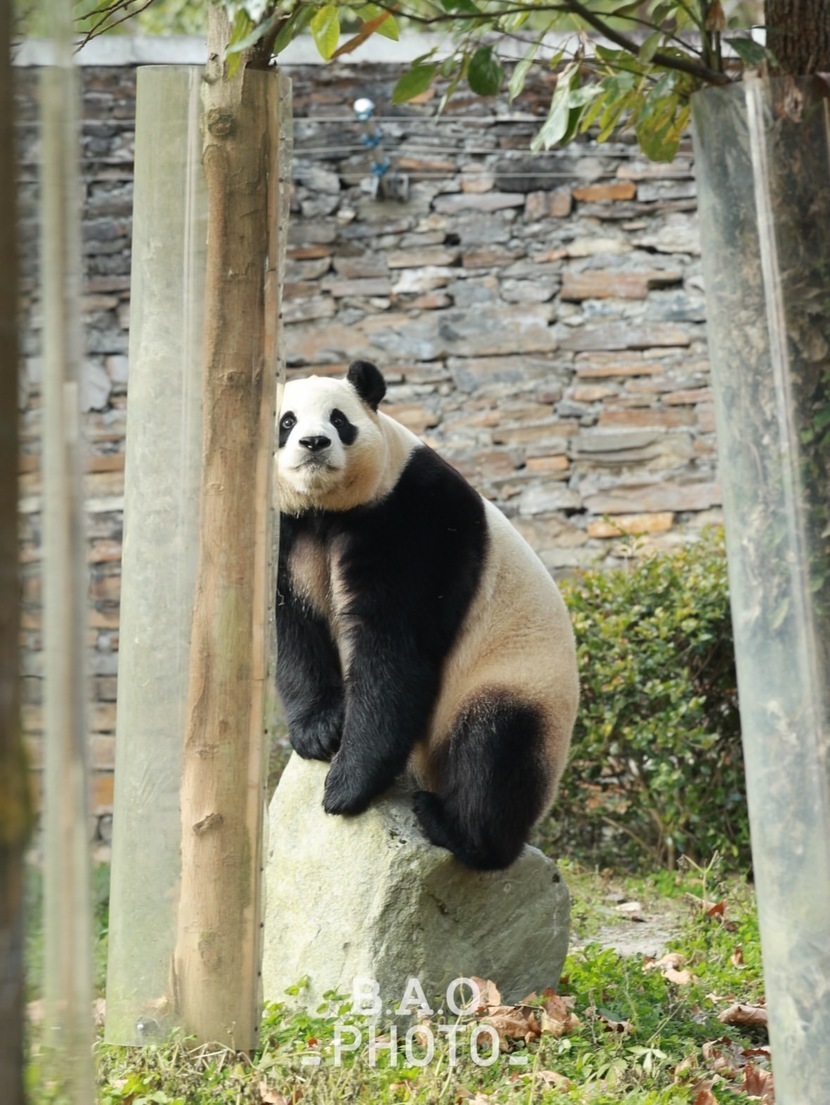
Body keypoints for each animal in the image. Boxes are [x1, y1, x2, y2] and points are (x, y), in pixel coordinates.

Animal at [276, 359, 579, 871]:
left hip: (519, 678)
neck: (328, 509)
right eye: (287, 422)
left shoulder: (412, 520)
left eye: (339, 419)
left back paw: (459, 831)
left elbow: (394, 651)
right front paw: (319, 731)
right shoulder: (290, 531)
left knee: (493, 749)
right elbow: (296, 627)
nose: (314, 443)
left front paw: (346, 787)